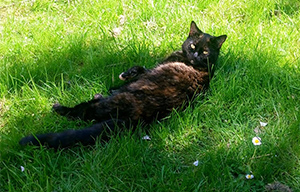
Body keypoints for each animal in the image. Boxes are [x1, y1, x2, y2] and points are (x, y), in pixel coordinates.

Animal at [19, 21, 227, 149]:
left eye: (205, 52)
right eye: (192, 46)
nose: (195, 55)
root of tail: (137, 119)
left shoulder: (152, 70)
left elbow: (138, 71)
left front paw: (121, 78)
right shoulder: (149, 69)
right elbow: (138, 68)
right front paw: (123, 77)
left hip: (107, 104)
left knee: (83, 112)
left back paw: (60, 107)